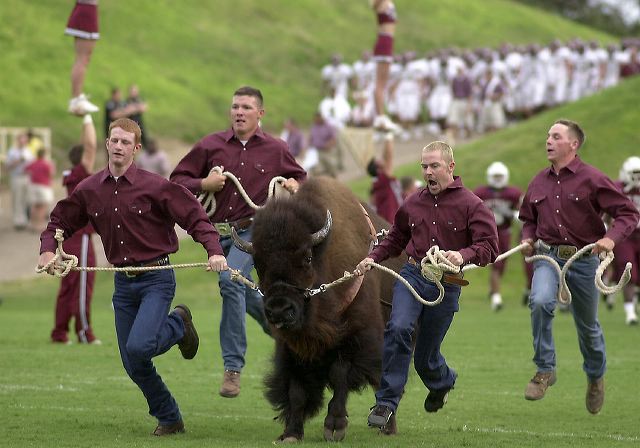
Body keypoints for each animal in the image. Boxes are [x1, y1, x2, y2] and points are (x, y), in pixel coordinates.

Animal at [231, 175, 404, 440]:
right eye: (258, 263)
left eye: (307, 257)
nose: (279, 309)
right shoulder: (292, 349)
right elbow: (297, 390)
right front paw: (291, 433)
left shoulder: (354, 339)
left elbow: (340, 376)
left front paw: (334, 427)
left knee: (382, 381)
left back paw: (388, 428)